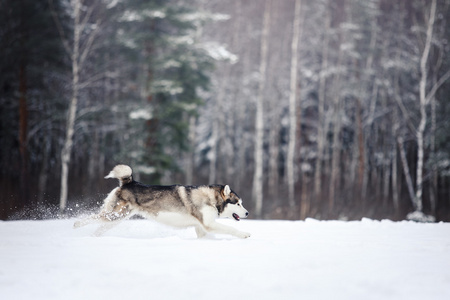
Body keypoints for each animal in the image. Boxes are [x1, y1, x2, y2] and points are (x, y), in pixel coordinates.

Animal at [73, 165, 250, 238]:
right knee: (91, 219)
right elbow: (230, 228)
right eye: (238, 203)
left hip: (116, 218)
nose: (248, 213)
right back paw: (76, 225)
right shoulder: (209, 224)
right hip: (116, 215)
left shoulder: (201, 226)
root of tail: (129, 182)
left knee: (99, 227)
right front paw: (244, 234)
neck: (211, 199)